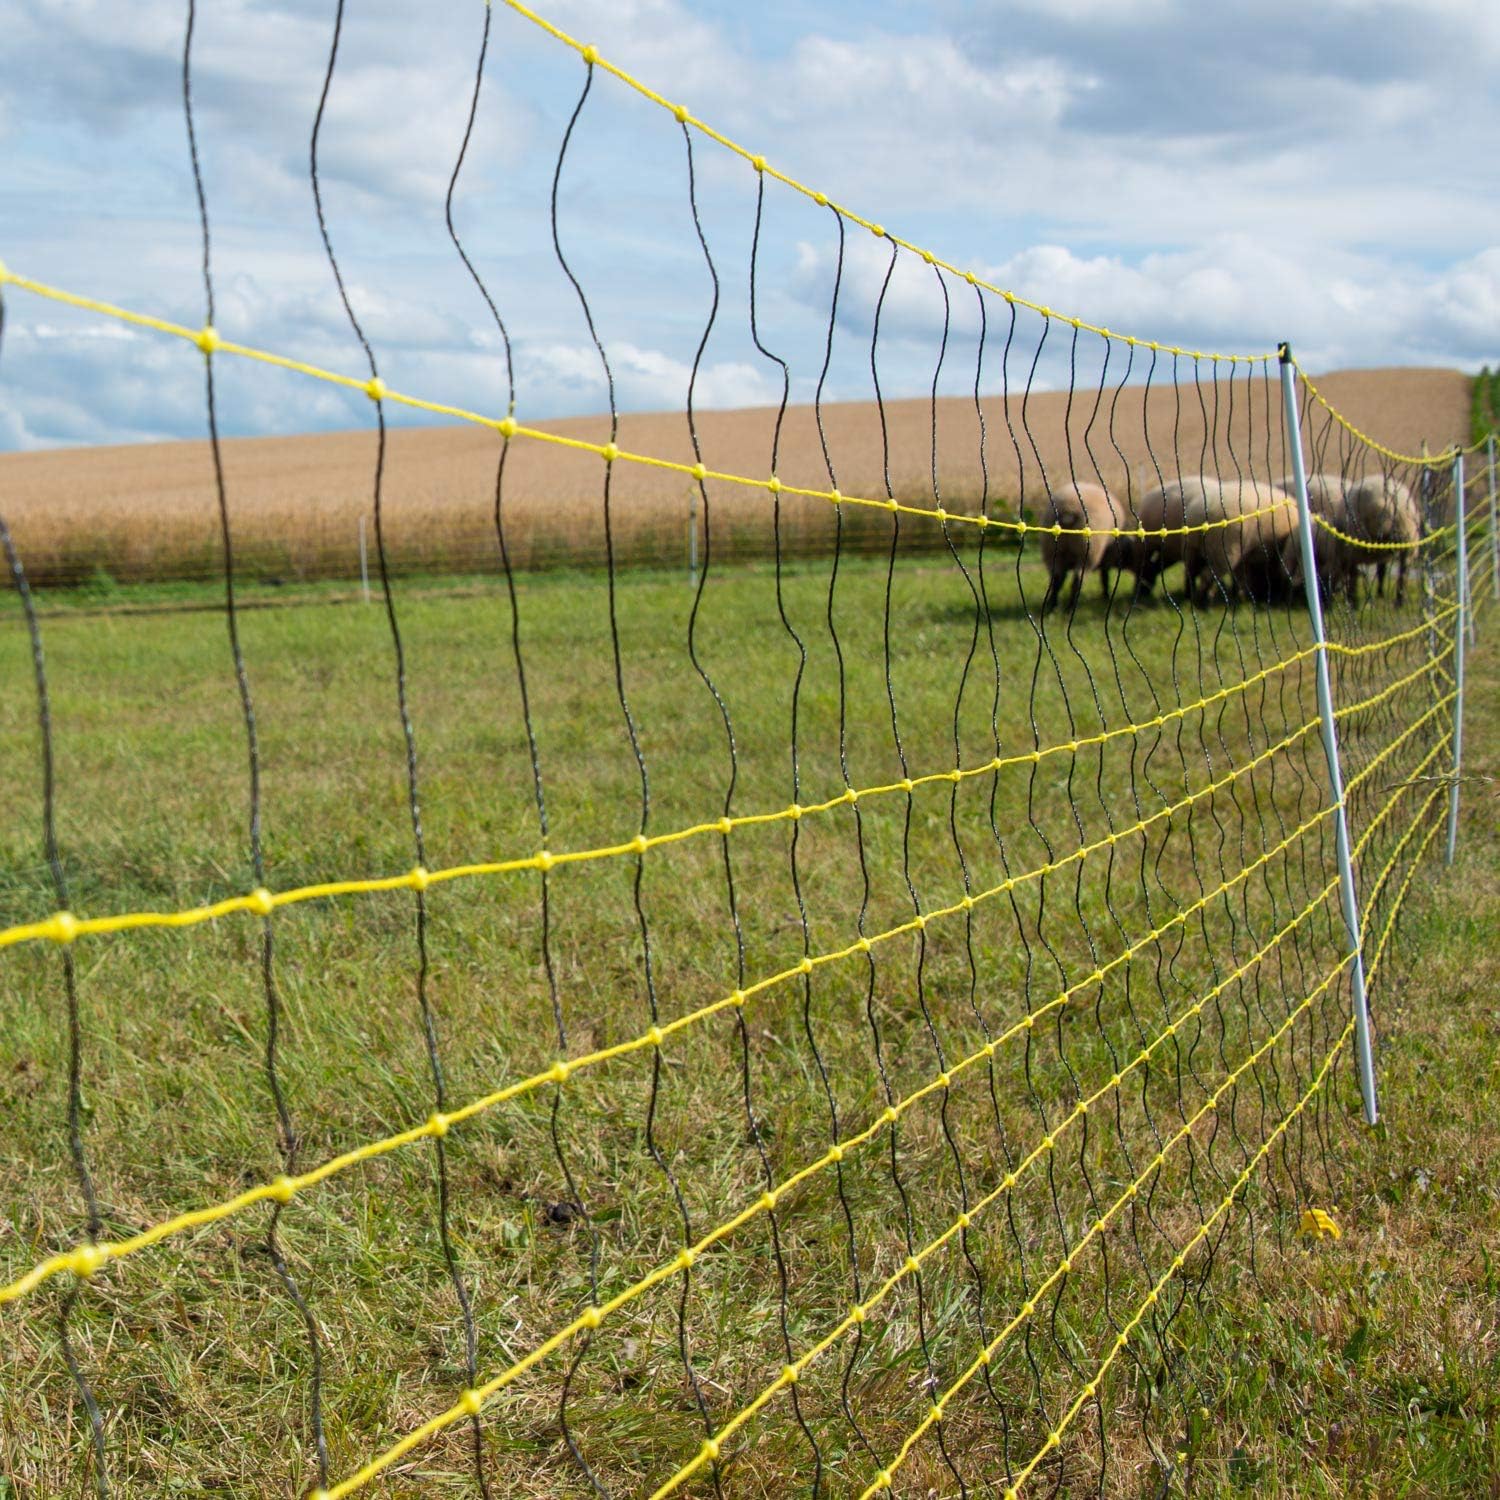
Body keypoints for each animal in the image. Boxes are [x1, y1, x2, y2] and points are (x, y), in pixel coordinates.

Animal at [1036, 480, 1125, 611]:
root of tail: (1068, 511)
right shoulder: (1109, 554)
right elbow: (1105, 575)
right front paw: (1106, 595)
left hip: (1051, 550)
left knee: (1057, 578)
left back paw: (1052, 606)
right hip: (1088, 552)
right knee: (1077, 579)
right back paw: (1070, 606)